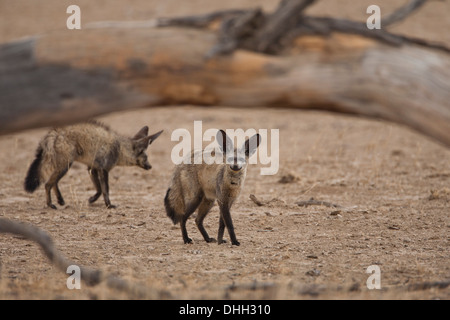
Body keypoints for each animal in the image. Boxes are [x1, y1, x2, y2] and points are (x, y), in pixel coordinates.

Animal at [23, 121, 163, 209]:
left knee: (54, 182)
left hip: (63, 165)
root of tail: (56, 131)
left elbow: (99, 189)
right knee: (48, 184)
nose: (150, 166)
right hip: (66, 165)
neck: (119, 148)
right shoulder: (103, 169)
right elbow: (105, 190)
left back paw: (60, 200)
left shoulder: (92, 168)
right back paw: (50, 205)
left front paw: (92, 199)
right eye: (146, 158)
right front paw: (109, 205)